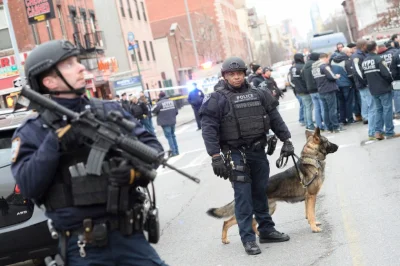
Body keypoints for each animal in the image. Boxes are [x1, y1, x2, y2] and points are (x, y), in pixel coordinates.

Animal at [208, 128, 340, 244]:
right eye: (327, 141)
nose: (338, 146)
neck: (312, 159)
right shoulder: (312, 196)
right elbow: (311, 214)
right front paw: (314, 228)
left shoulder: (308, 199)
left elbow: (309, 213)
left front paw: (313, 223)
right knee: (227, 222)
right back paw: (225, 239)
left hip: (269, 209)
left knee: (253, 223)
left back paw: (263, 235)